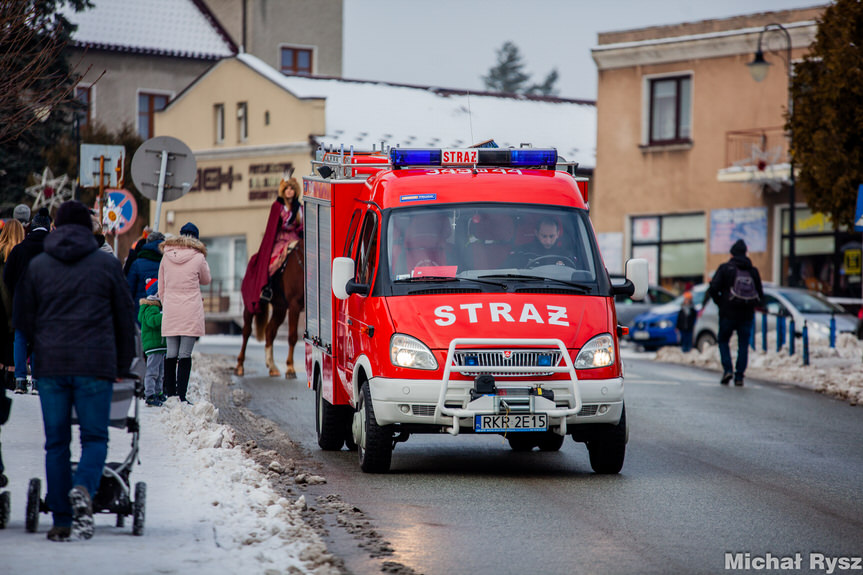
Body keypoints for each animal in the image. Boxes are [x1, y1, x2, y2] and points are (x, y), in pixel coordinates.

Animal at [235, 241, 306, 380]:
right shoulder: (294, 305)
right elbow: (292, 336)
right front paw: (290, 369)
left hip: (280, 309)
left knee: (269, 331)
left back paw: (272, 366)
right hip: (250, 306)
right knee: (246, 332)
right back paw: (240, 366)